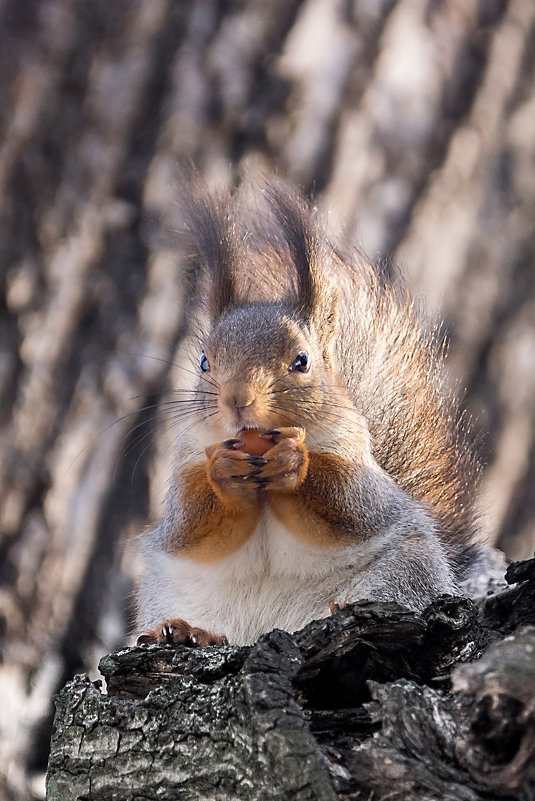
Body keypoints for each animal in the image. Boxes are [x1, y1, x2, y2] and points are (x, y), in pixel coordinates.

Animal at [134, 177, 482, 648]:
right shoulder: (185, 461)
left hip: (405, 569)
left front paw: (294, 463)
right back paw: (189, 631)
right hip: (169, 592)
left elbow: (347, 504)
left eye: (302, 361)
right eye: (204, 361)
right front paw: (223, 470)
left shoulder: (357, 463)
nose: (237, 399)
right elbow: (191, 525)